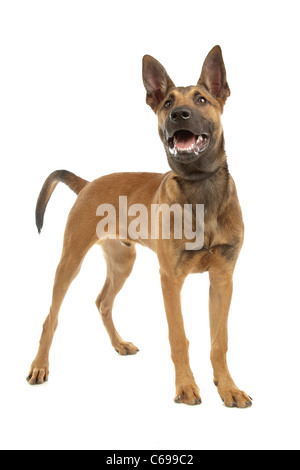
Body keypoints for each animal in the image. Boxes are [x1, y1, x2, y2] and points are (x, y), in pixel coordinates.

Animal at [27, 46, 252, 410]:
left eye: (202, 99)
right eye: (167, 103)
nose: (179, 115)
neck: (200, 188)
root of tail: (88, 184)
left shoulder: (223, 278)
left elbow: (220, 342)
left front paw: (228, 388)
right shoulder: (170, 279)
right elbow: (179, 337)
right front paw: (186, 387)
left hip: (123, 262)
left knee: (102, 302)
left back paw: (119, 344)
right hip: (70, 260)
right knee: (52, 316)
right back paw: (39, 366)